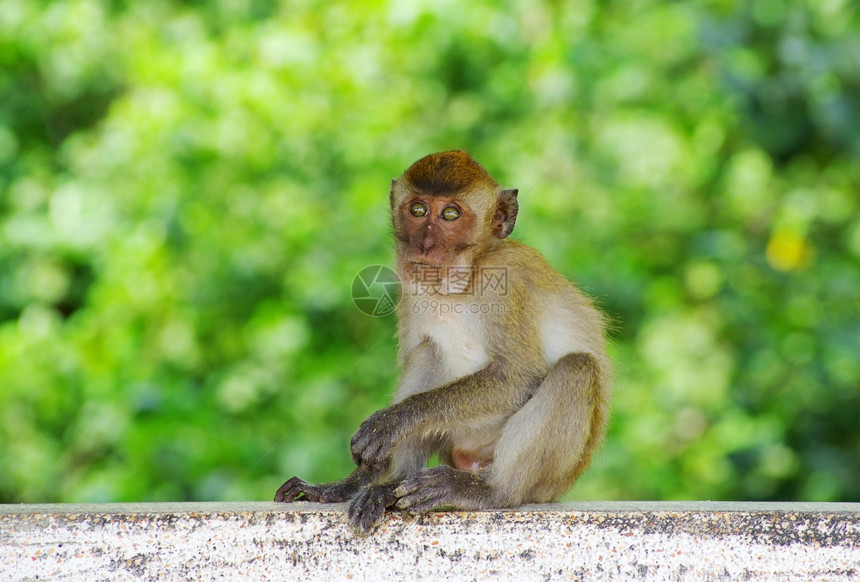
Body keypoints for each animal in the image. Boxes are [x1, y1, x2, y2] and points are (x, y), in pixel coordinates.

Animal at [278, 149, 612, 532]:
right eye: (418, 209)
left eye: (450, 214)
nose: (425, 244)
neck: (459, 282)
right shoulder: (410, 290)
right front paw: (355, 480)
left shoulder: (508, 279)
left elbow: (517, 376)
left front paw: (393, 421)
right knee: (427, 353)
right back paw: (388, 485)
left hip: (547, 478)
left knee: (576, 368)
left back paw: (489, 491)